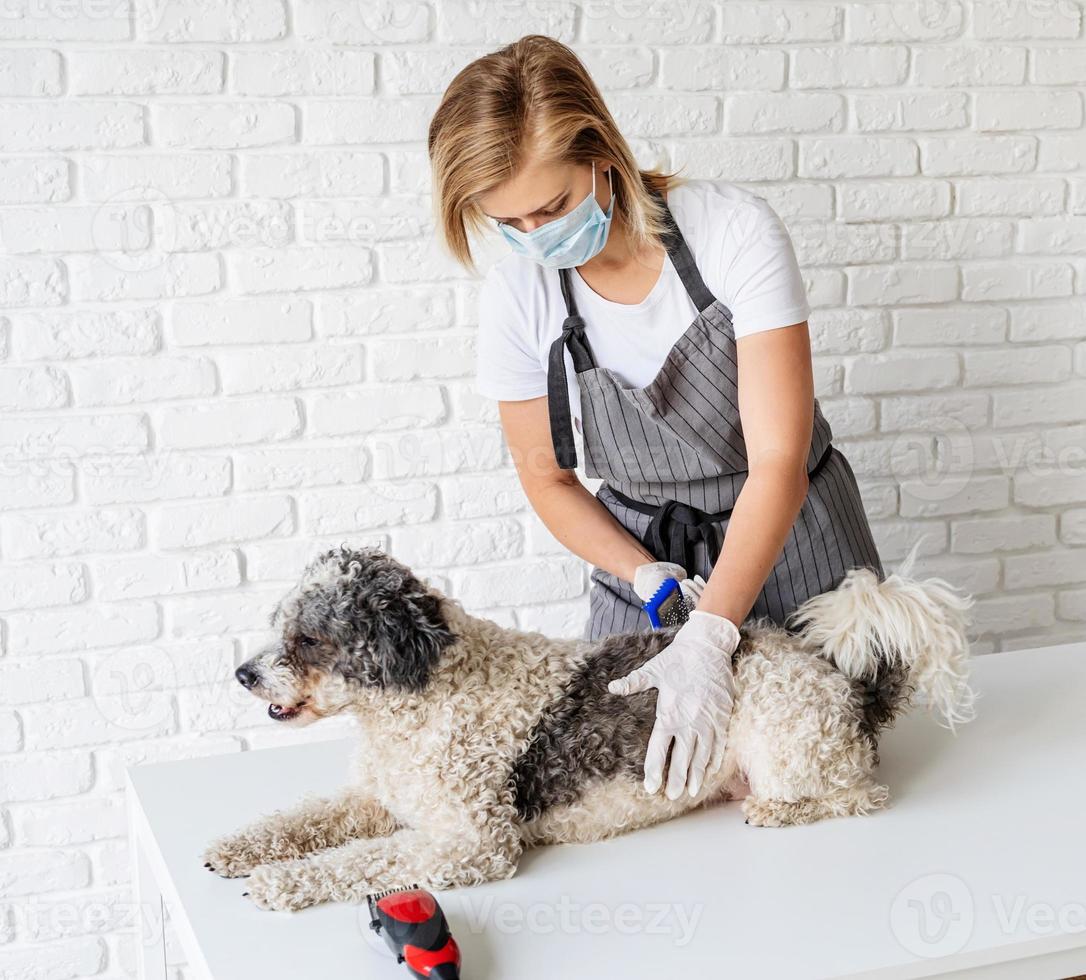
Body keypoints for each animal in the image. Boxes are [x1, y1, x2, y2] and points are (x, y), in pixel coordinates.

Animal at [201, 545, 977, 912]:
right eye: (278, 624)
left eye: (308, 638)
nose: (241, 673)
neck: (423, 696)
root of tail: (847, 685)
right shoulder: (374, 799)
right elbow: (302, 820)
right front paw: (235, 849)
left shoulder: (471, 843)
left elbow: (358, 862)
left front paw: (277, 883)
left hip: (792, 750)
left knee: (859, 795)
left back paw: (776, 811)